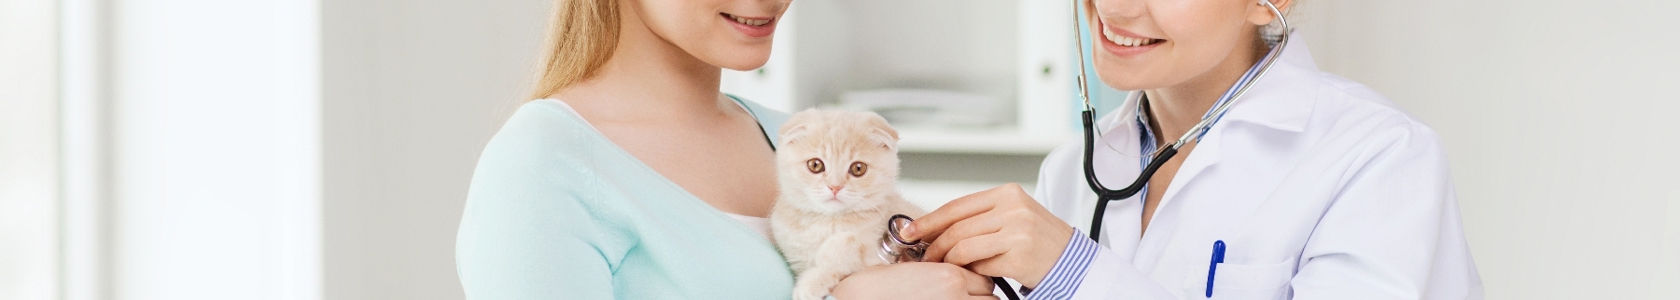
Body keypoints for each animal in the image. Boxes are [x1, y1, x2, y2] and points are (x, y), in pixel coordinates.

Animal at [769, 109, 927, 300]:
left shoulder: (879, 254)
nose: (835, 186)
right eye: (815, 165)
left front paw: (811, 282)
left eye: (858, 168)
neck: (828, 222)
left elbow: (846, 243)